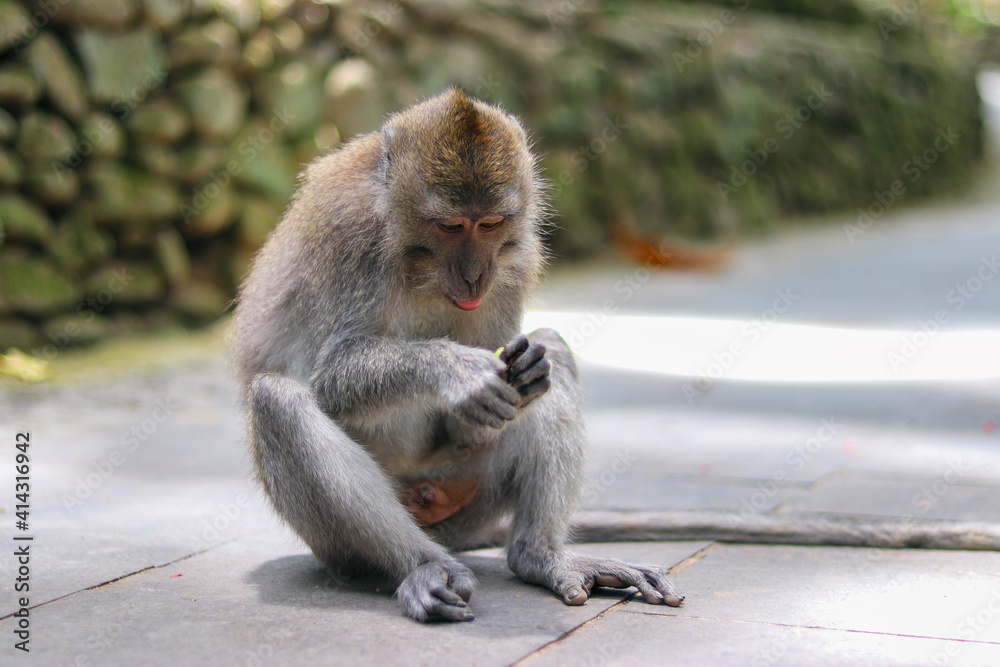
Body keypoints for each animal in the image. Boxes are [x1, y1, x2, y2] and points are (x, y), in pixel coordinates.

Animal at [231, 88, 684, 622]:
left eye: (489, 224)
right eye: (450, 226)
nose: (474, 275)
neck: (412, 255)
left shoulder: (515, 260)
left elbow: (498, 397)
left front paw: (523, 375)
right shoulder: (348, 234)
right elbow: (328, 376)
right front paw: (455, 369)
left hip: (469, 488)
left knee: (553, 347)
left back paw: (540, 555)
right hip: (346, 542)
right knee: (278, 400)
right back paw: (424, 566)